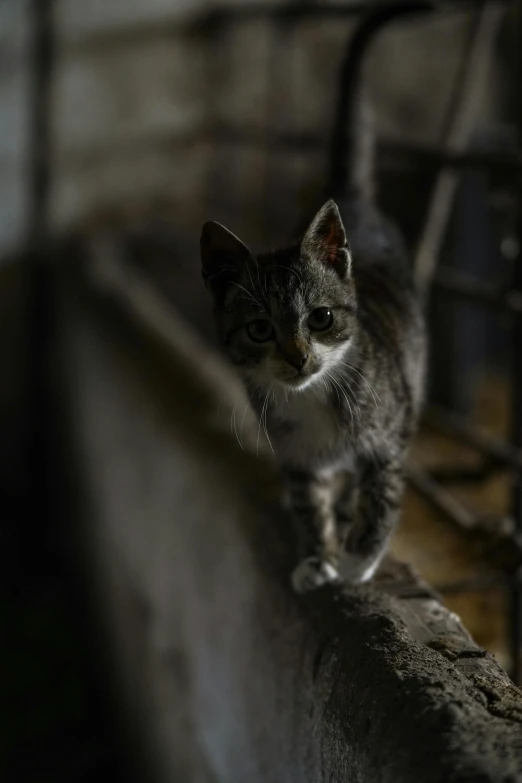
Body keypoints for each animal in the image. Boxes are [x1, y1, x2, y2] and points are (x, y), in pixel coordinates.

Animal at [198, 13, 422, 596]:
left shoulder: (392, 434)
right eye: (259, 329)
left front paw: (357, 559)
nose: (298, 356)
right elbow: (307, 501)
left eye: (320, 319)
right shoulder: (296, 456)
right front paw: (317, 554)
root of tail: (356, 204)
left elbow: (382, 497)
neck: (312, 397)